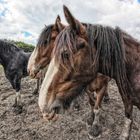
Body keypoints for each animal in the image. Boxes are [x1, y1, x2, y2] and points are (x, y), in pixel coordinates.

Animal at [37, 5, 139, 140]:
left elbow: (97, 107)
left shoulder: (103, 88)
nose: (43, 104)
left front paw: (95, 129)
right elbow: (92, 104)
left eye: (65, 54)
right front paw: (91, 120)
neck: (135, 69)